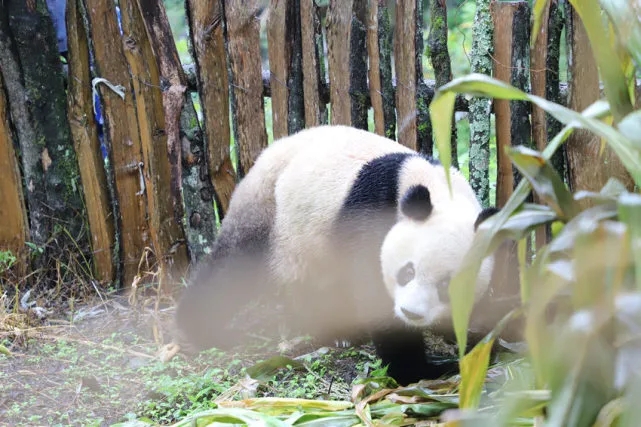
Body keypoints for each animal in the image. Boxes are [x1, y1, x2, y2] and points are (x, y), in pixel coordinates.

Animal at [175, 125, 512, 386]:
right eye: (407, 272)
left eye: (447, 286)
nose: (412, 313)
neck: (438, 190)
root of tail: (276, 147)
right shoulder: (373, 211)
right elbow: (371, 288)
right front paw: (419, 369)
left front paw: (475, 338)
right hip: (269, 205)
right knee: (237, 263)